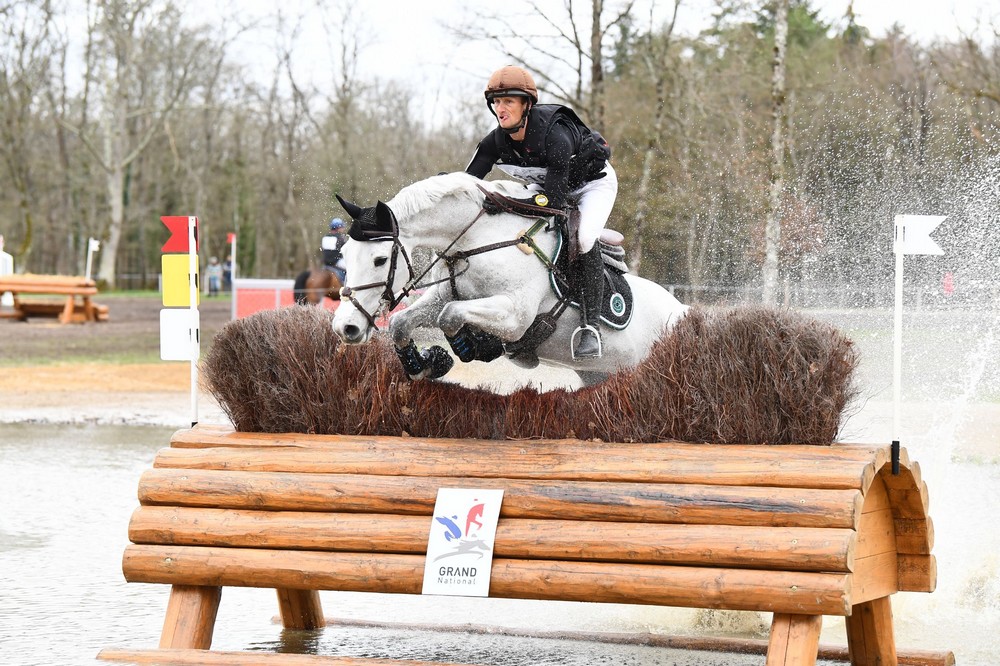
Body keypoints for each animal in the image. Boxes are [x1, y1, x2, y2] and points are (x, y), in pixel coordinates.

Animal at [330, 171, 688, 384]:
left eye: (379, 260)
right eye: (344, 253)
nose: (345, 327)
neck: (477, 239)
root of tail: (682, 310)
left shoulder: (515, 314)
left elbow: (450, 317)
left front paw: (475, 345)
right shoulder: (447, 295)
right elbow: (402, 322)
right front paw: (428, 363)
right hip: (599, 375)